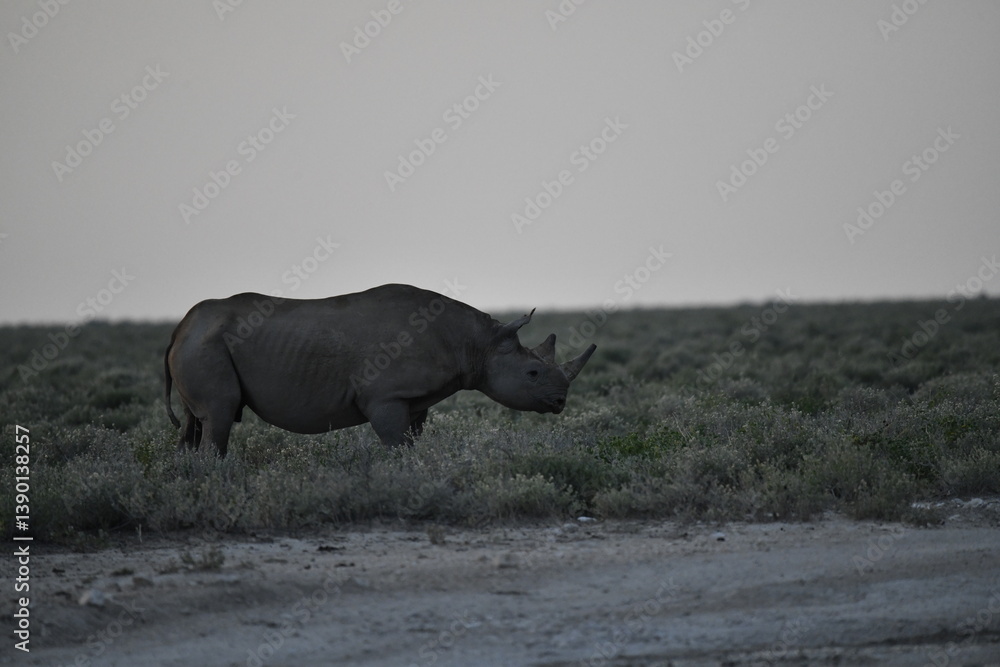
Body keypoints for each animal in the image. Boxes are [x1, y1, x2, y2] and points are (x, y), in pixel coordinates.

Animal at [164, 283, 596, 456]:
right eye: (533, 374)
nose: (560, 402)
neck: (479, 344)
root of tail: (180, 326)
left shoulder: (415, 399)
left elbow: (412, 442)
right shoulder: (384, 396)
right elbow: (396, 444)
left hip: (201, 343)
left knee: (197, 422)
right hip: (205, 345)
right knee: (219, 414)